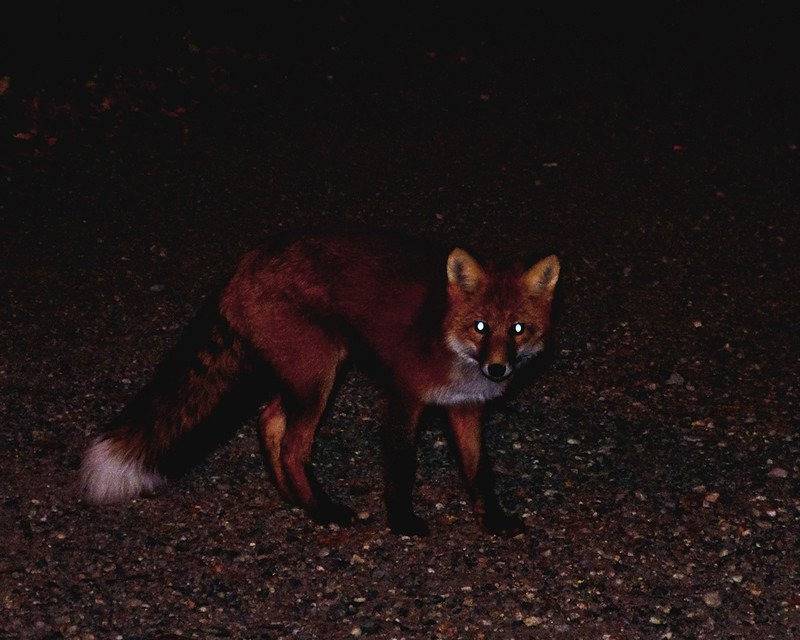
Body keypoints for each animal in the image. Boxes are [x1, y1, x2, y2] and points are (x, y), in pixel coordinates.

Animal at [79, 232, 556, 536]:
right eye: (480, 327)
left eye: (518, 329)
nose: (498, 370)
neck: (447, 338)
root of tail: (243, 265)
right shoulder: (404, 398)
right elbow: (402, 467)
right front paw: (402, 523)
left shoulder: (466, 408)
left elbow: (480, 472)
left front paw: (493, 521)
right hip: (320, 374)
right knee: (293, 445)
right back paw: (321, 510)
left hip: (301, 375)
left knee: (269, 420)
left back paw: (293, 497)